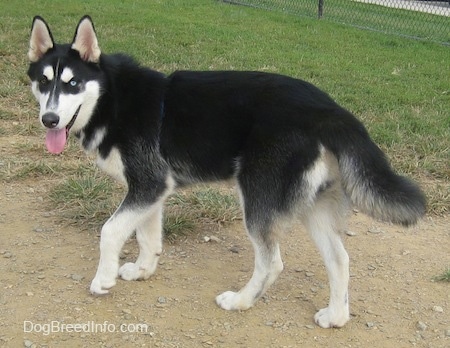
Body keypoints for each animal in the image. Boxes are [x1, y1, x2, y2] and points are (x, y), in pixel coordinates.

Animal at [27, 14, 426, 328]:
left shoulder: (147, 183)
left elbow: (110, 231)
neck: (111, 98)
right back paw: (336, 316)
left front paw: (104, 278)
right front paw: (142, 270)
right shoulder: (152, 189)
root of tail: (329, 110)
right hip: (313, 206)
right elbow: (148, 237)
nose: (50, 119)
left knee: (272, 263)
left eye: (73, 83)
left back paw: (241, 301)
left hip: (258, 200)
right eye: (43, 81)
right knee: (339, 260)